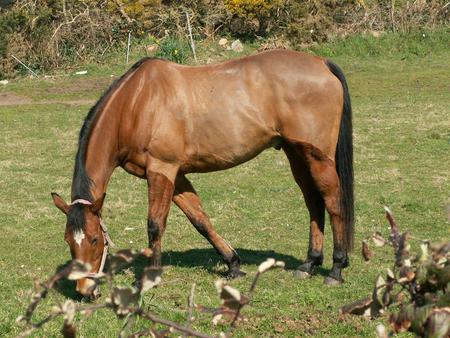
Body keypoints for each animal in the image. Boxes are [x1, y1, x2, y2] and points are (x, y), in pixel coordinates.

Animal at [51, 48, 356, 298]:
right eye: (68, 240)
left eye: (94, 239)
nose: (85, 290)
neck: (136, 103)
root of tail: (321, 62)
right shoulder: (175, 176)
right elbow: (199, 219)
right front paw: (233, 265)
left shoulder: (162, 169)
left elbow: (155, 224)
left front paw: (148, 278)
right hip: (297, 154)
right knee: (314, 202)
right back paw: (309, 263)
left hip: (318, 157)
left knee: (333, 202)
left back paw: (336, 268)